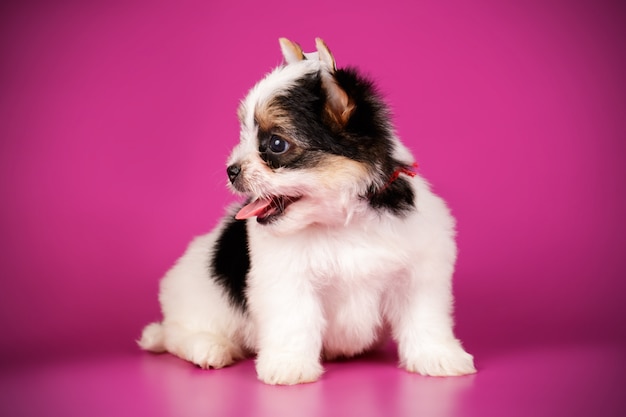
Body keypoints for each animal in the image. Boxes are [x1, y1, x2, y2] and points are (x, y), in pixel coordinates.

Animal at [140, 39, 472, 384]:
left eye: (276, 144)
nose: (231, 170)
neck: (342, 220)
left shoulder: (419, 270)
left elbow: (424, 316)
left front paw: (438, 356)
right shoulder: (286, 279)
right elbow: (293, 320)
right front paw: (289, 366)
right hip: (199, 297)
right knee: (178, 334)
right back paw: (208, 347)